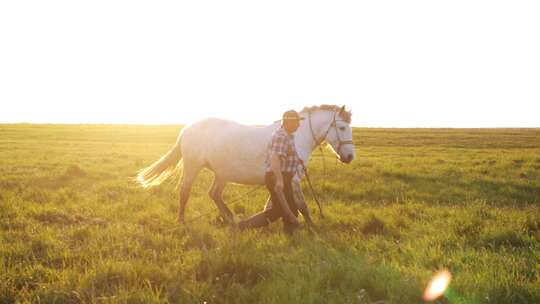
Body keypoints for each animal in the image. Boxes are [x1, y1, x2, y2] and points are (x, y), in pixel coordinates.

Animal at [136, 105, 354, 224]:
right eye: (342, 127)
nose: (350, 157)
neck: (295, 136)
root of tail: (188, 128)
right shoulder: (294, 178)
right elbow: (302, 205)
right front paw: (311, 227)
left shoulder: (280, 179)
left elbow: (273, 203)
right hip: (192, 167)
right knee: (185, 192)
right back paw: (182, 220)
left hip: (222, 174)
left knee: (214, 194)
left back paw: (230, 218)